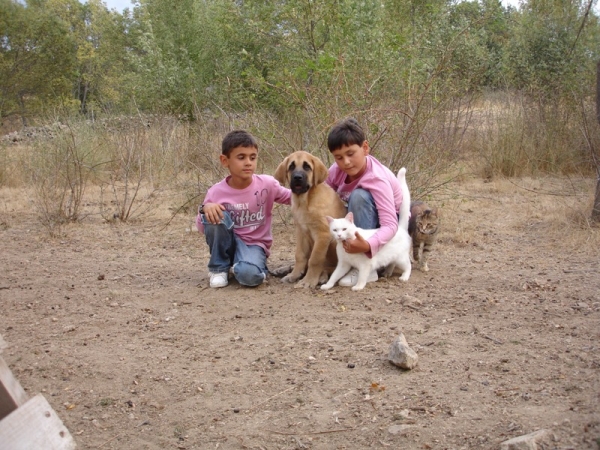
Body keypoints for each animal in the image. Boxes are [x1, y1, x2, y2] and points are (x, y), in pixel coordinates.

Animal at [274, 151, 344, 288]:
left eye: (307, 167)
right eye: (291, 167)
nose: (297, 178)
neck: (305, 201)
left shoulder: (323, 234)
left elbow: (315, 259)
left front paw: (308, 281)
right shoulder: (301, 232)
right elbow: (299, 256)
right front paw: (294, 275)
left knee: (332, 267)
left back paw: (322, 276)